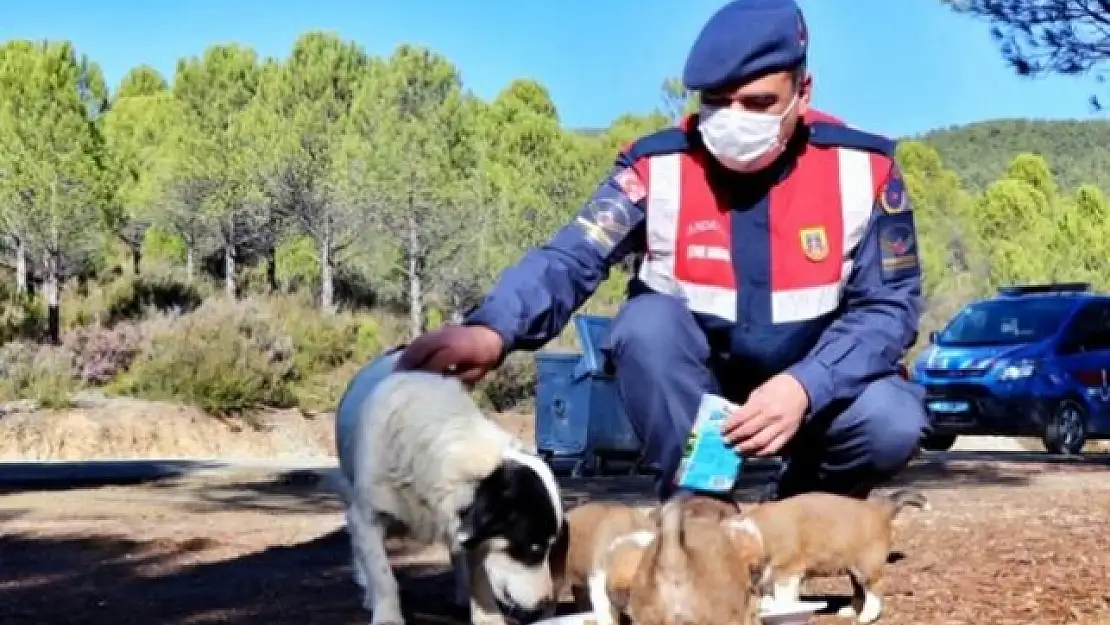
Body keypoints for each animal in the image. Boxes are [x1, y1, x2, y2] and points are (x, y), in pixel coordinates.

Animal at [333, 346, 568, 625]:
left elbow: (477, 572)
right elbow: (382, 574)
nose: (545, 603)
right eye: (534, 548)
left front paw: (487, 615)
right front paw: (388, 616)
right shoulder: (367, 517)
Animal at [741, 488, 932, 625]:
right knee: (860, 590)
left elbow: (783, 599)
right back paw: (851, 610)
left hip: (865, 564)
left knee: (874, 588)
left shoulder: (788, 572)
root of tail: (878, 507)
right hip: (853, 566)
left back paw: (867, 616)